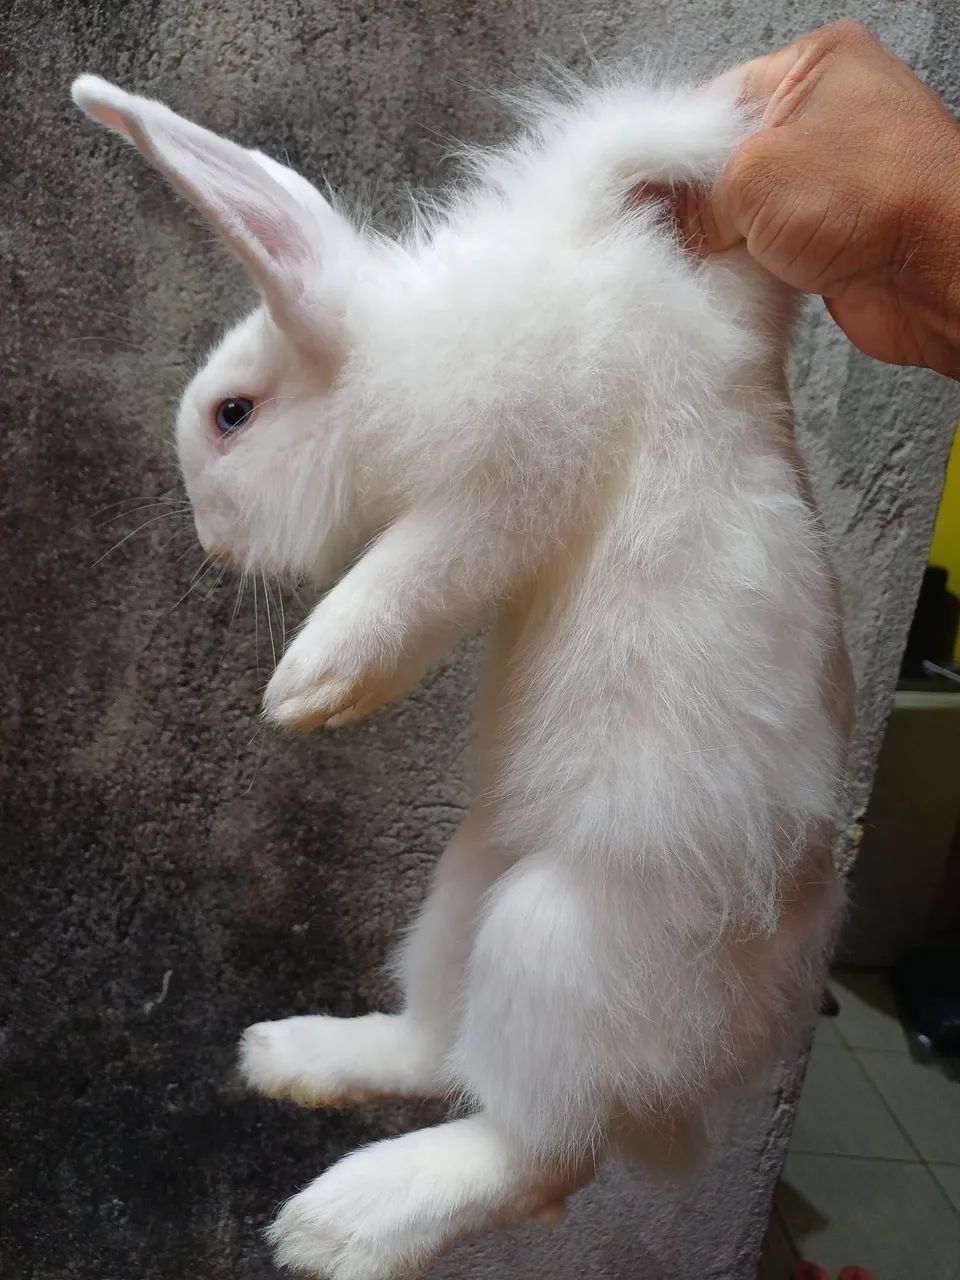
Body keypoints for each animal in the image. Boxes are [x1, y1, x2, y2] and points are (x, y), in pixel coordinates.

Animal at [72, 67, 852, 1280]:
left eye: (232, 414)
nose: (210, 545)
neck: (406, 345)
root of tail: (764, 1022)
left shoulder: (506, 478)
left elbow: (411, 580)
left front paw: (309, 686)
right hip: (468, 881)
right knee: (440, 1047)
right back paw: (290, 1057)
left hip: (554, 935)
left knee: (540, 1155)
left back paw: (339, 1225)